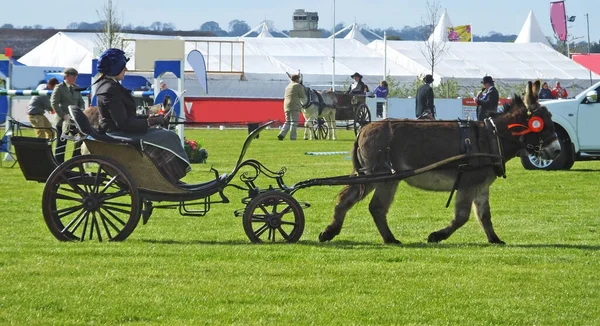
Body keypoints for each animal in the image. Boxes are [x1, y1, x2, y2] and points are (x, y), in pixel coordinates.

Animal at [318, 81, 564, 244]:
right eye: (542, 122)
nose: (558, 150)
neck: (491, 136)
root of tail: (363, 129)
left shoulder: (481, 185)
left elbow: (484, 216)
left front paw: (495, 240)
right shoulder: (467, 184)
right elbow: (462, 216)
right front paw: (436, 235)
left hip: (379, 177)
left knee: (355, 202)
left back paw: (336, 232)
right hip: (381, 177)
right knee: (371, 205)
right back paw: (386, 238)